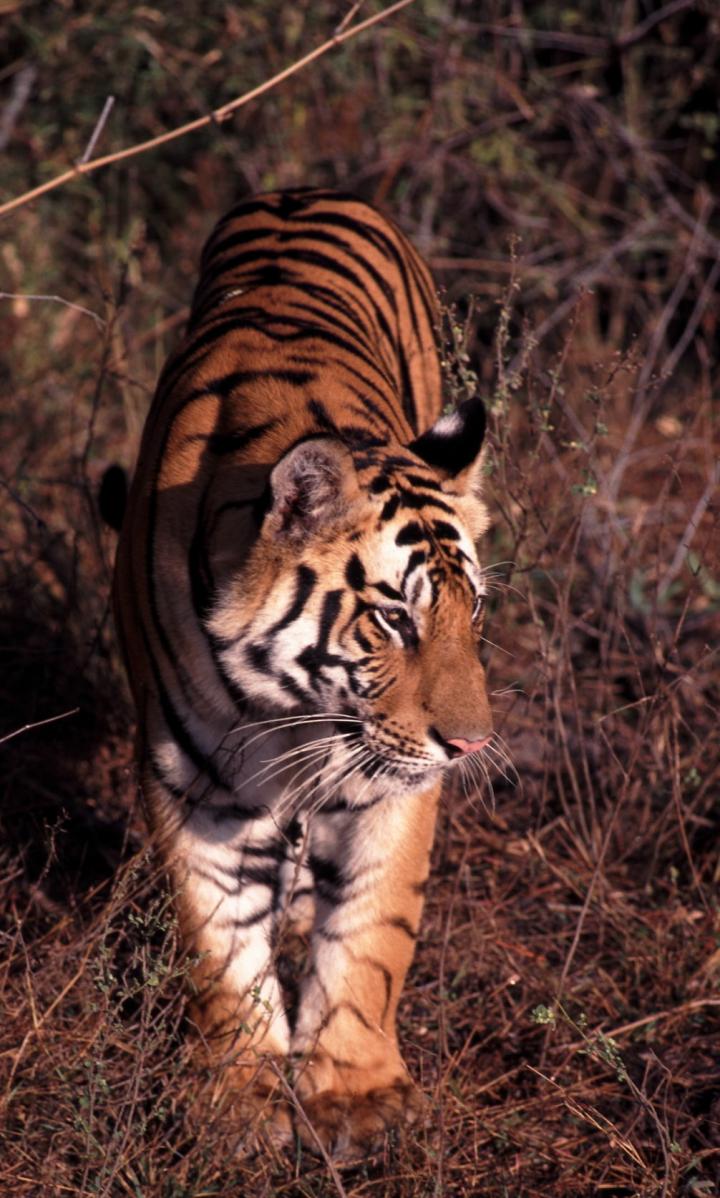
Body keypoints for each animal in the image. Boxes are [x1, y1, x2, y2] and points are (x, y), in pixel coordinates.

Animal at [113, 186, 493, 1160]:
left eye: (470, 611)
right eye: (393, 618)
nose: (473, 746)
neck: (292, 708)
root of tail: (307, 192)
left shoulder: (393, 781)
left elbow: (374, 926)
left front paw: (357, 1096)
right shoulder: (190, 784)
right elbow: (215, 943)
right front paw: (241, 1097)